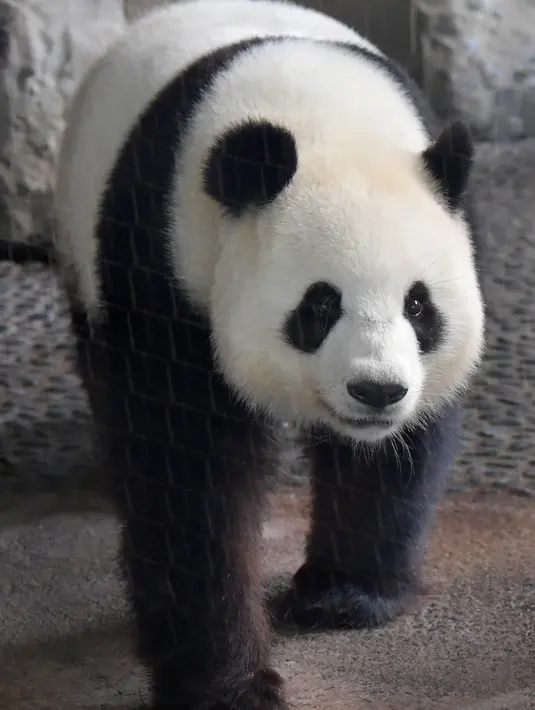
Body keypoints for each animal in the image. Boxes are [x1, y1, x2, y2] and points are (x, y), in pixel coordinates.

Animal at [53, 0, 485, 708]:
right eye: (319, 306)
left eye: (419, 306)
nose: (377, 392)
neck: (321, 117)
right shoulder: (160, 258)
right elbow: (185, 469)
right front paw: (226, 682)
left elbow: (395, 454)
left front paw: (344, 596)